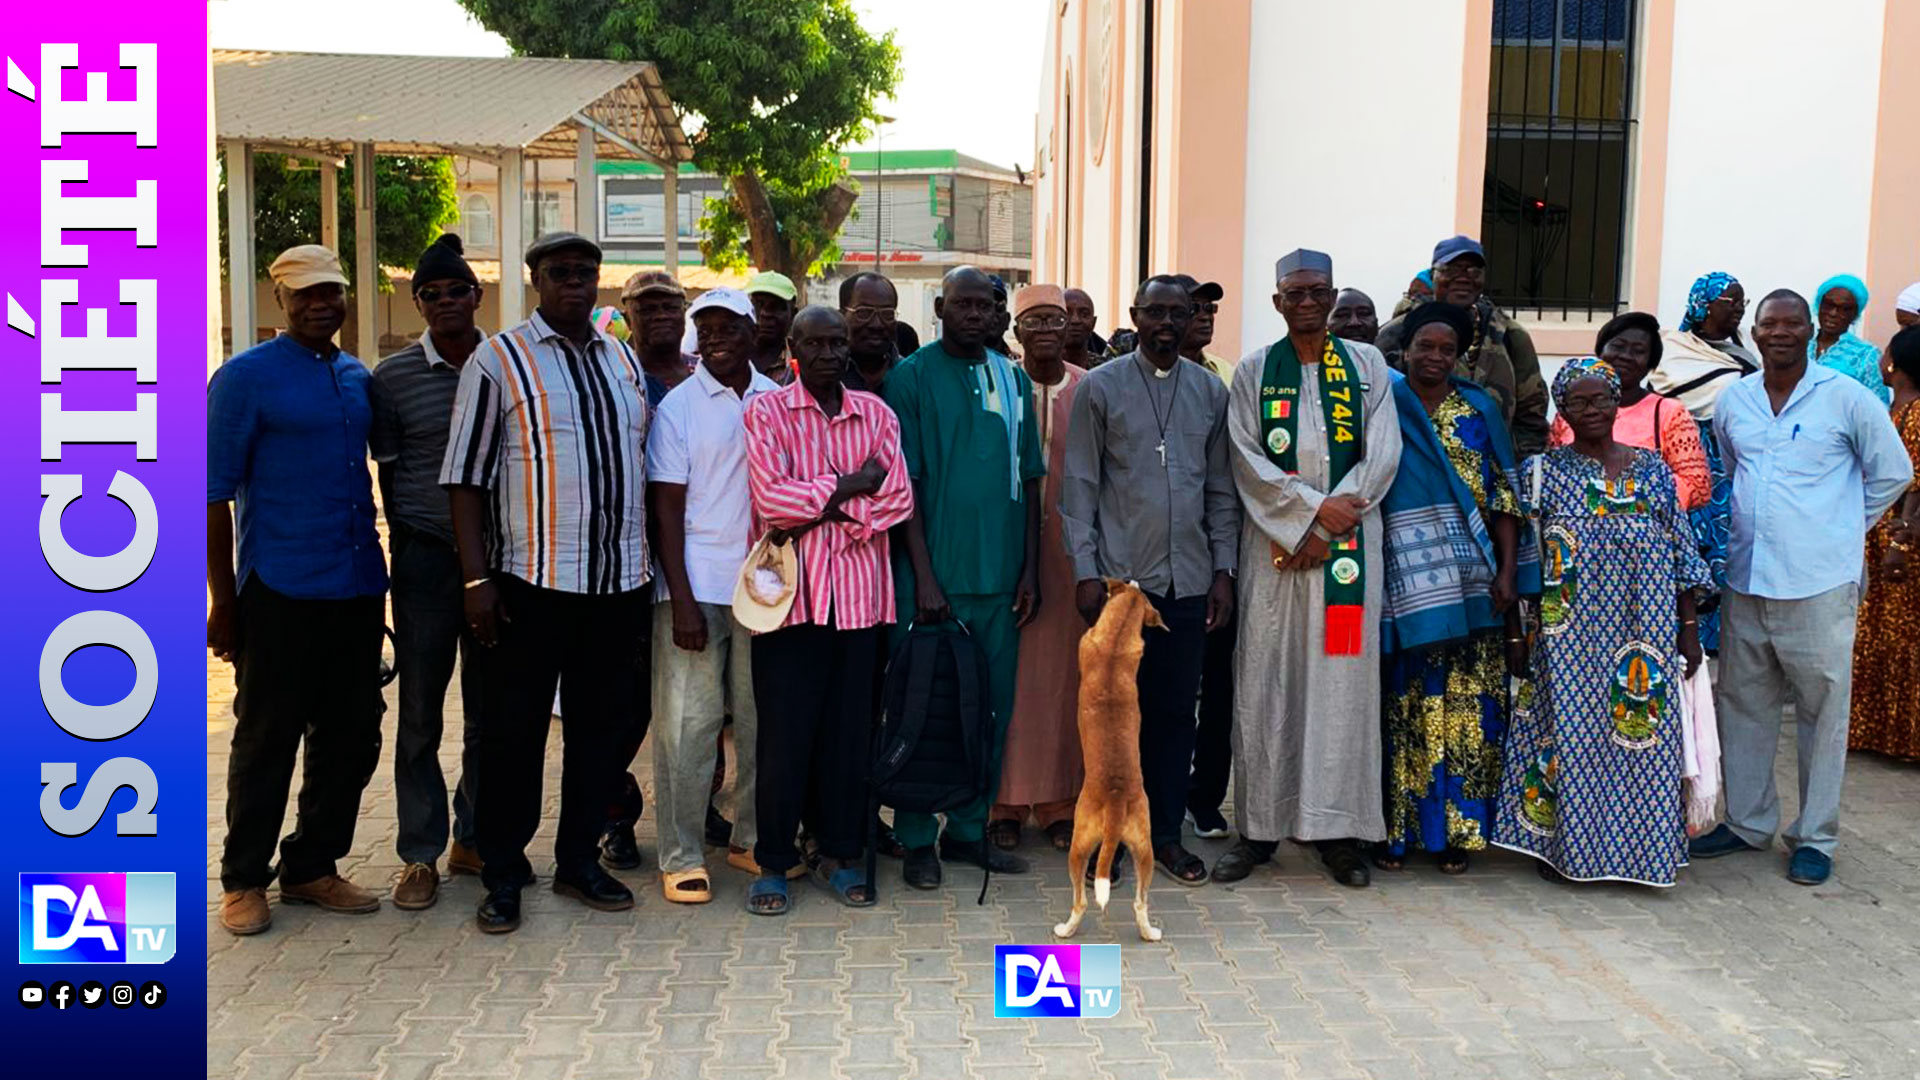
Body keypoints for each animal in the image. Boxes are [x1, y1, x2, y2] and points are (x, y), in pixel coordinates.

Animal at [1059, 576, 1159, 937]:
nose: (1134, 579)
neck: (1116, 642)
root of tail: (1116, 799)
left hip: (1079, 845)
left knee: (1081, 901)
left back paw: (1065, 930)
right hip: (1145, 848)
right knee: (1140, 903)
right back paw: (1150, 933)